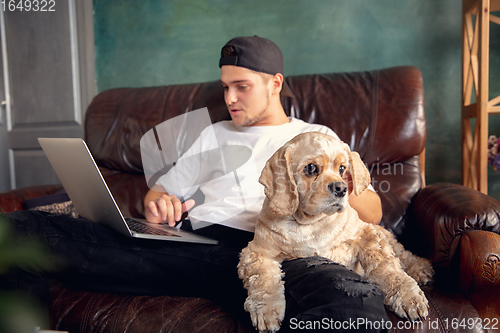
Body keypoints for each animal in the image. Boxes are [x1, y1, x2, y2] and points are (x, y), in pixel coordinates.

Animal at [238, 131, 434, 330]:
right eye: (311, 168)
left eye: (342, 168)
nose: (341, 188)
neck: (310, 223)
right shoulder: (258, 252)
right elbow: (263, 280)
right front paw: (266, 311)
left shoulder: (367, 235)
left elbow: (388, 269)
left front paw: (408, 297)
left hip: (386, 235)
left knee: (403, 255)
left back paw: (422, 268)